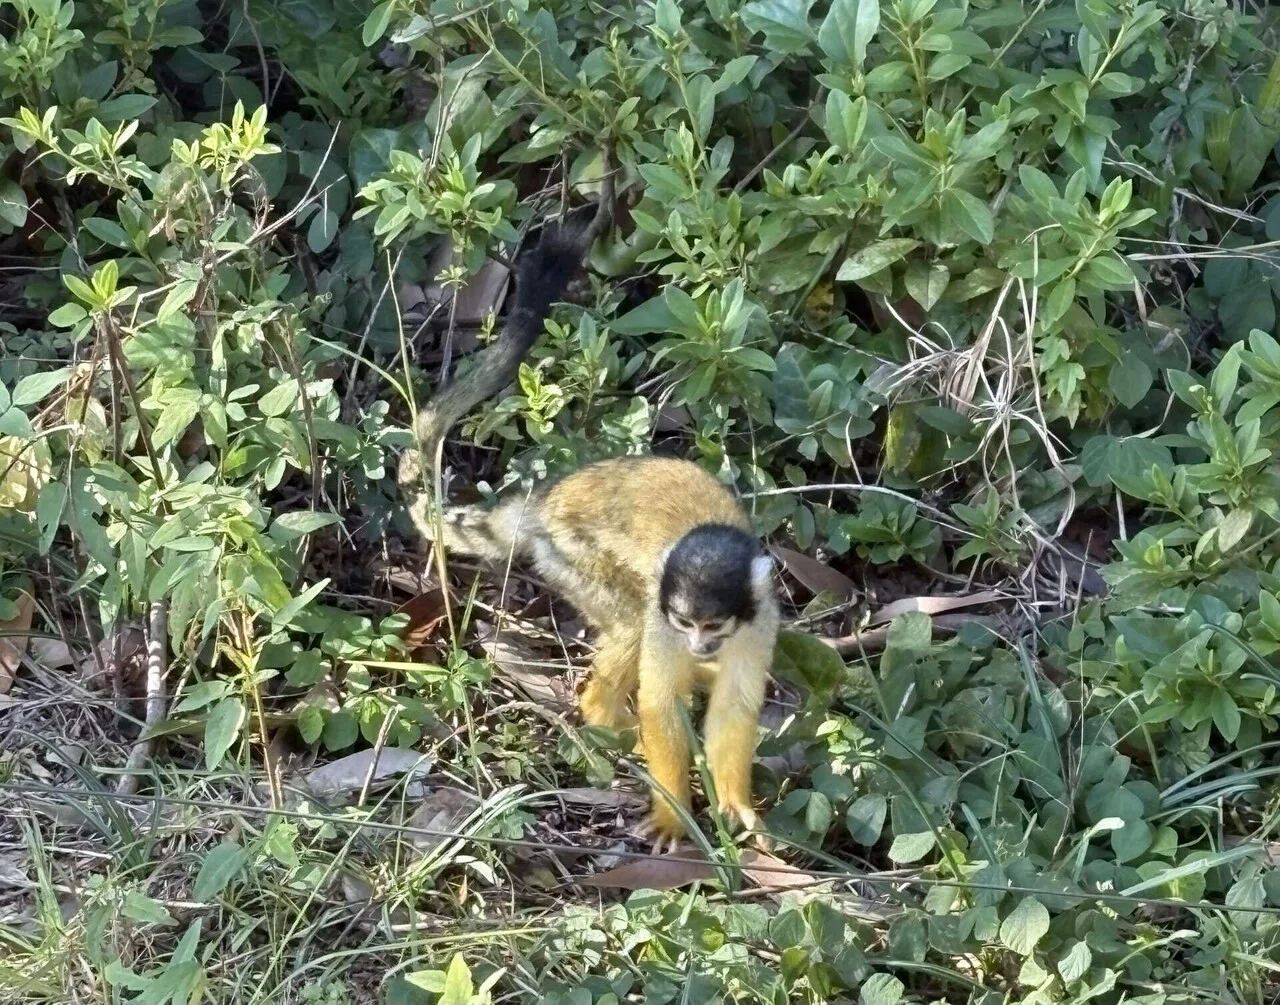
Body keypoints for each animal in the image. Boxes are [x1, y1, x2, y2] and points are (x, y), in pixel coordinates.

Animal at [411, 455, 778, 851]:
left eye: (712, 625)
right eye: (685, 622)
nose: (699, 645)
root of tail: (544, 500)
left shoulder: (762, 618)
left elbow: (734, 704)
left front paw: (735, 802)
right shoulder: (664, 620)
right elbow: (661, 704)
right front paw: (674, 813)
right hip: (569, 552)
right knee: (633, 623)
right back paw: (608, 716)